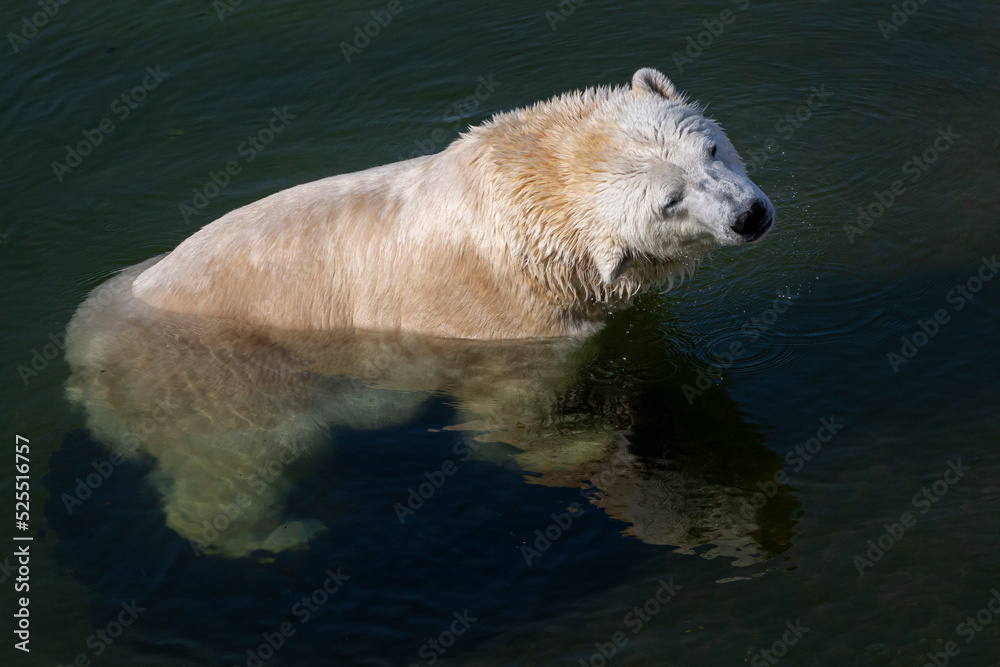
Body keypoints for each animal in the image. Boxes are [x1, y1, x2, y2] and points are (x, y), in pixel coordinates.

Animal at [65, 68, 777, 558]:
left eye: (709, 149)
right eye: (670, 201)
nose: (750, 215)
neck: (519, 208)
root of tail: (87, 364)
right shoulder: (507, 326)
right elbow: (508, 422)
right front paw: (606, 437)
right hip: (219, 385)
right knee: (238, 466)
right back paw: (280, 535)